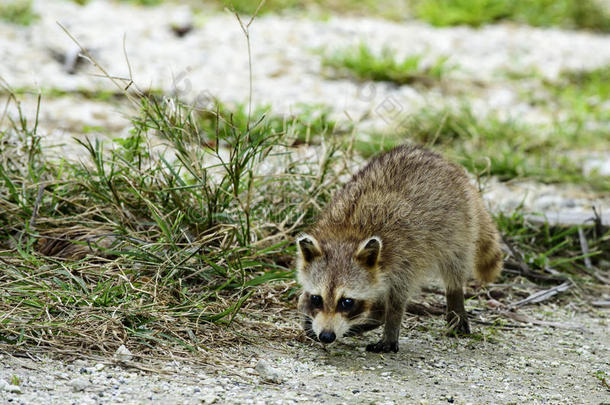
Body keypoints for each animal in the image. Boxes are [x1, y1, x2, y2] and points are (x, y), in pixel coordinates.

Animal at [294, 144, 498, 352]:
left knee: (455, 264)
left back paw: (455, 298)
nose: (326, 336)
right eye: (317, 298)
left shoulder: (405, 259)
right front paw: (306, 311)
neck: (347, 235)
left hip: (458, 228)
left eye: (346, 302)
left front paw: (389, 328)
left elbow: (396, 302)